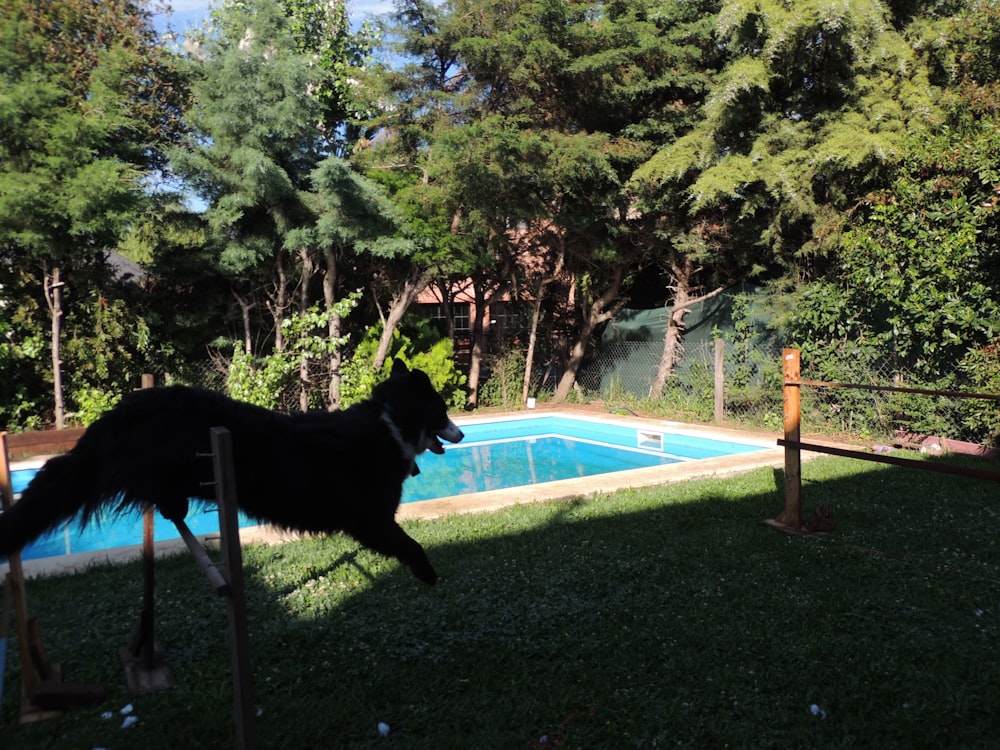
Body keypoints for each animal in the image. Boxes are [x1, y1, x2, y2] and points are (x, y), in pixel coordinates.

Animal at [0, 362, 462, 584]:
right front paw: (427, 573)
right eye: (442, 411)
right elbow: (409, 544)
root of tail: (124, 411)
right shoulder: (371, 520)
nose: (458, 433)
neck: (391, 422)